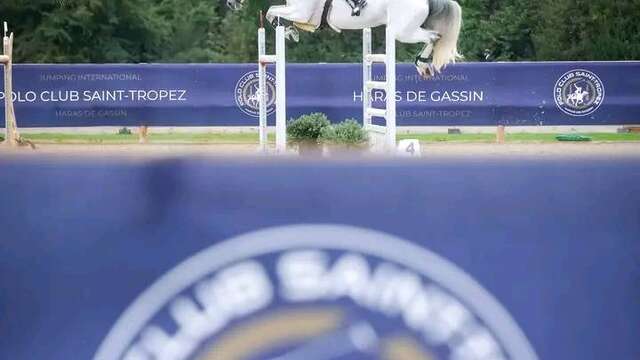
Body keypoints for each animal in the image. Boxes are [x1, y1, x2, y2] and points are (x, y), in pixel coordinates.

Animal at [228, 0, 462, 78]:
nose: (231, 4)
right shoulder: (301, 14)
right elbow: (273, 12)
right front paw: (290, 31)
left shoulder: (301, 12)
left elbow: (271, 12)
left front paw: (287, 32)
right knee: (434, 36)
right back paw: (423, 65)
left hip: (401, 31)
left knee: (433, 37)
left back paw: (422, 64)